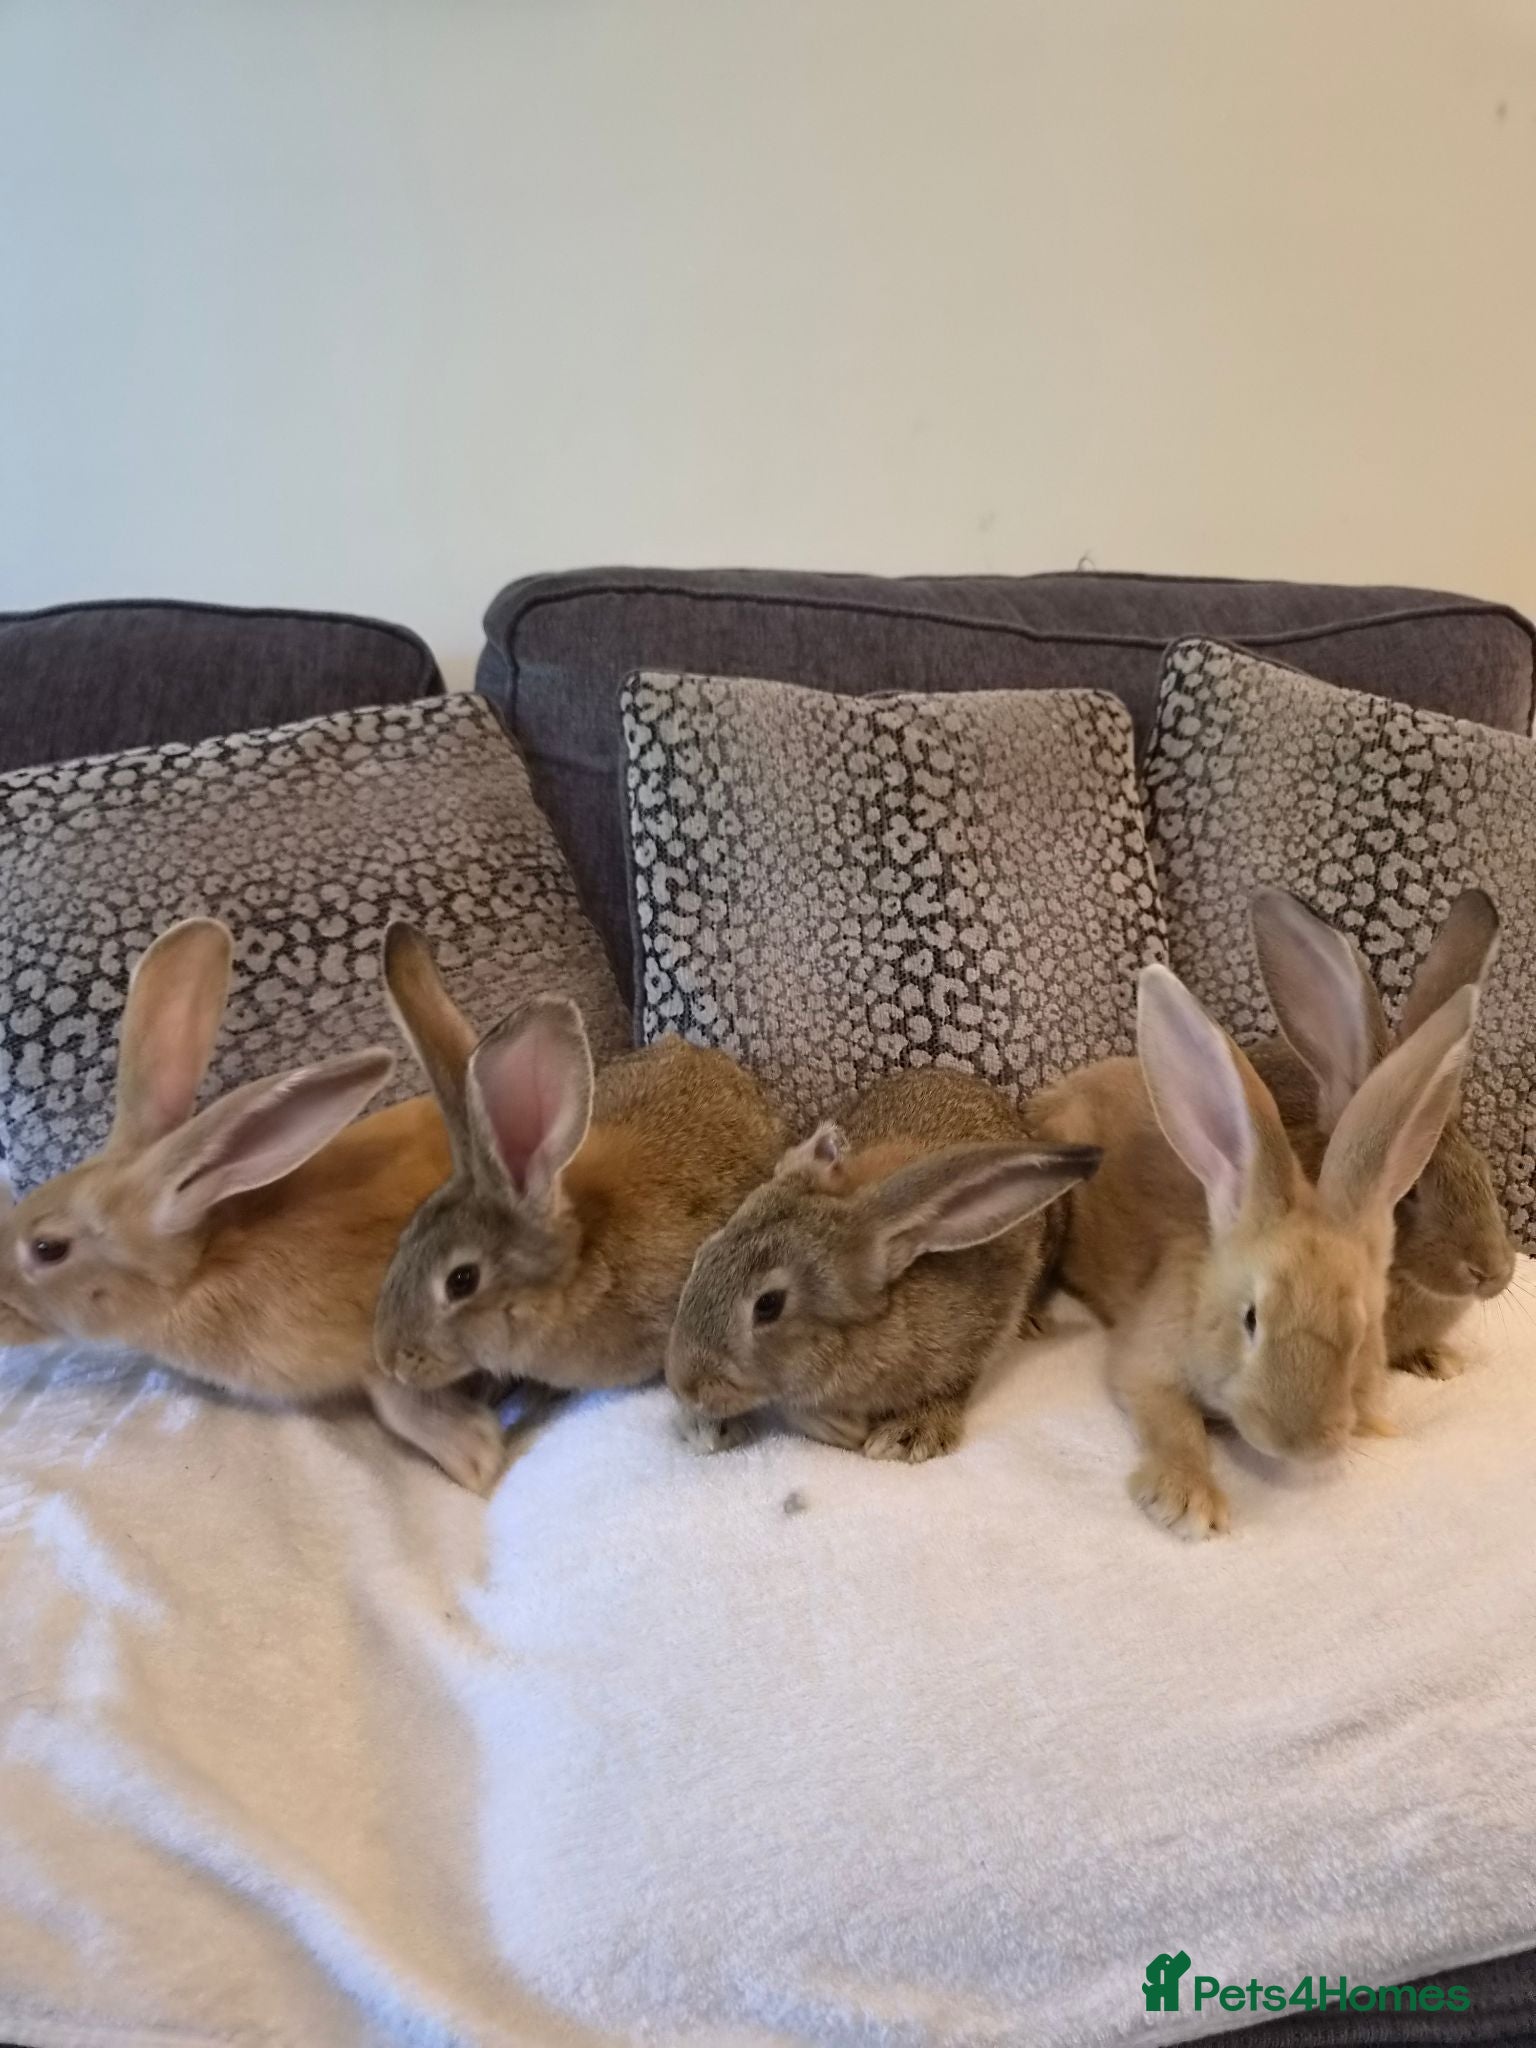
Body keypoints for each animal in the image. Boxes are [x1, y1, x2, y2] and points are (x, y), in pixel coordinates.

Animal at [0, 917, 504, 1492]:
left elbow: (398, 1404)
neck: (202, 1267)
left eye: (48, 1248)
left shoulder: (384, 1351)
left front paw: (477, 1457)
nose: (0, 1314)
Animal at [665, 1067, 1101, 1462]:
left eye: (768, 1305)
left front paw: (902, 1435)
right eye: (703, 1256)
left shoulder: (979, 1332)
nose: (685, 1385)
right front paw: (706, 1427)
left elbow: (953, 1384)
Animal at [1029, 958, 1480, 1538]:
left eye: (1360, 1335)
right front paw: (1187, 1501)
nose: (1297, 1442)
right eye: (1251, 1319)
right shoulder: (1145, 1361)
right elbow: (1171, 1422)